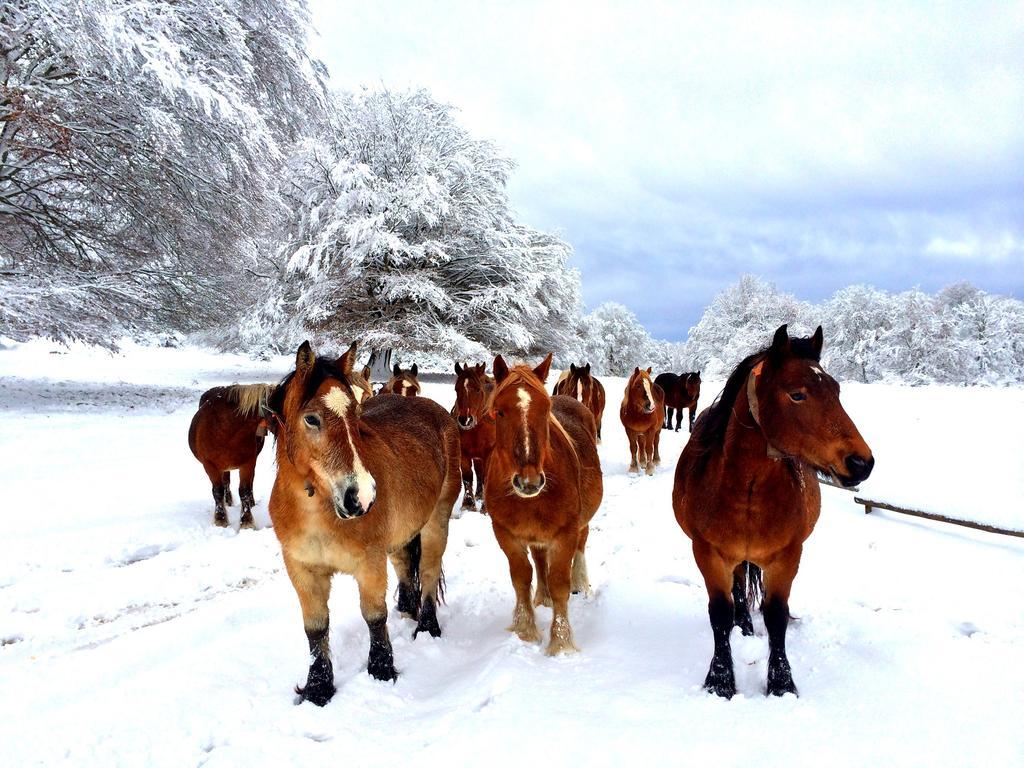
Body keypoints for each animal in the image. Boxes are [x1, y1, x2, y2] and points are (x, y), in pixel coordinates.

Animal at [184, 382, 272, 528]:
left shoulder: (248, 463)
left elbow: (245, 491)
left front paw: (246, 521)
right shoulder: (209, 465)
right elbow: (217, 491)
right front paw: (220, 519)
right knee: (225, 482)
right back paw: (228, 501)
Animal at [264, 342, 460, 708]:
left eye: (356, 414)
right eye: (311, 418)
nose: (363, 497)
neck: (318, 509)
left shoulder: (369, 563)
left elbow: (374, 616)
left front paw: (381, 670)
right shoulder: (302, 569)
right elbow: (315, 628)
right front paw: (318, 688)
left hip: (436, 523)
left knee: (427, 571)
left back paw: (427, 627)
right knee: (404, 565)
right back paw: (407, 609)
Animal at [452, 362, 495, 518]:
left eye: (477, 389)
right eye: (456, 388)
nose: (465, 419)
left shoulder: (490, 453)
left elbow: (488, 477)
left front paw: (486, 509)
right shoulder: (463, 452)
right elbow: (467, 477)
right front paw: (469, 505)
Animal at [483, 354, 602, 655]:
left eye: (545, 409)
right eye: (499, 412)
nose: (529, 481)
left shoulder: (565, 533)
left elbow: (560, 583)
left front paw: (561, 642)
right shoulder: (506, 534)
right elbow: (521, 578)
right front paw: (525, 630)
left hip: (581, 523)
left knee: (582, 544)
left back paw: (580, 582)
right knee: (538, 559)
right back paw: (543, 596)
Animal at [671, 327, 872, 700]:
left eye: (836, 390)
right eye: (797, 395)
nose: (861, 462)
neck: (748, 491)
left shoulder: (787, 556)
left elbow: (777, 615)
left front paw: (781, 683)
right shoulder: (707, 552)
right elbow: (719, 613)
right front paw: (720, 680)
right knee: (738, 586)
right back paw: (743, 626)